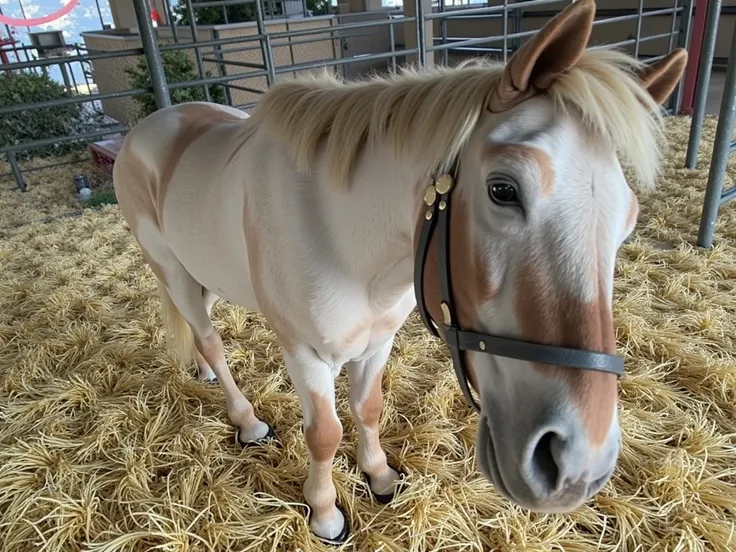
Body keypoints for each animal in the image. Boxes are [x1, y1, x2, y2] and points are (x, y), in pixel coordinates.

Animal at [112, 0, 688, 544]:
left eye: (629, 219)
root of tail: (150, 126)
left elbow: (368, 409)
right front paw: (325, 514)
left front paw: (380, 477)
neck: (342, 236)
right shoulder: (305, 352)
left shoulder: (376, 341)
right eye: (503, 189)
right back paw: (247, 420)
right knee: (209, 338)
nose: (577, 465)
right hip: (171, 268)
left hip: (204, 274)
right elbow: (324, 433)